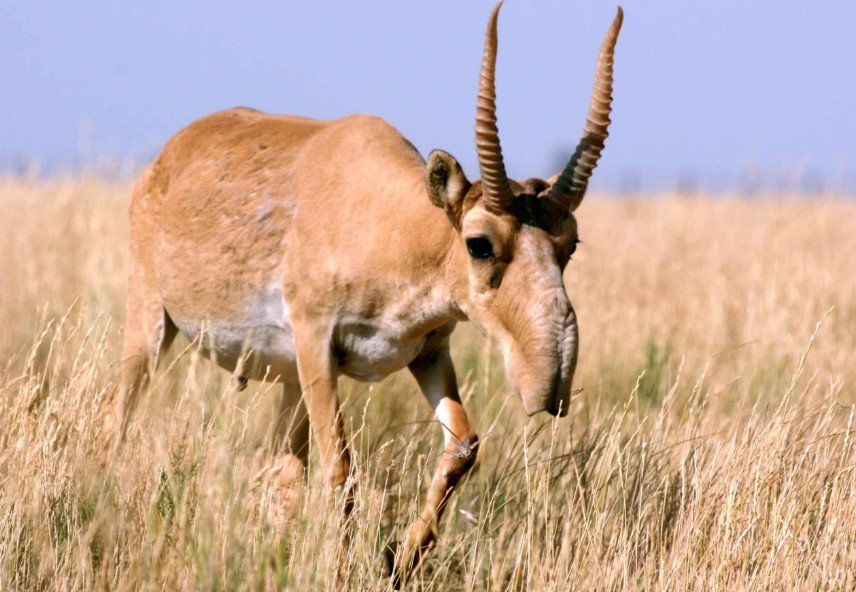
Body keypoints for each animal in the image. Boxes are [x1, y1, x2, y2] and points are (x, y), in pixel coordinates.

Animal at [112, 1, 622, 583]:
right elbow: (340, 465)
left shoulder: (428, 353)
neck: (392, 222)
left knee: (280, 472)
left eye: (570, 242)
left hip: (288, 380)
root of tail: (170, 155)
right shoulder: (317, 346)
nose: (550, 381)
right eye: (479, 243)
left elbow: (463, 446)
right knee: (120, 418)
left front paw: (400, 560)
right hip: (152, 324)